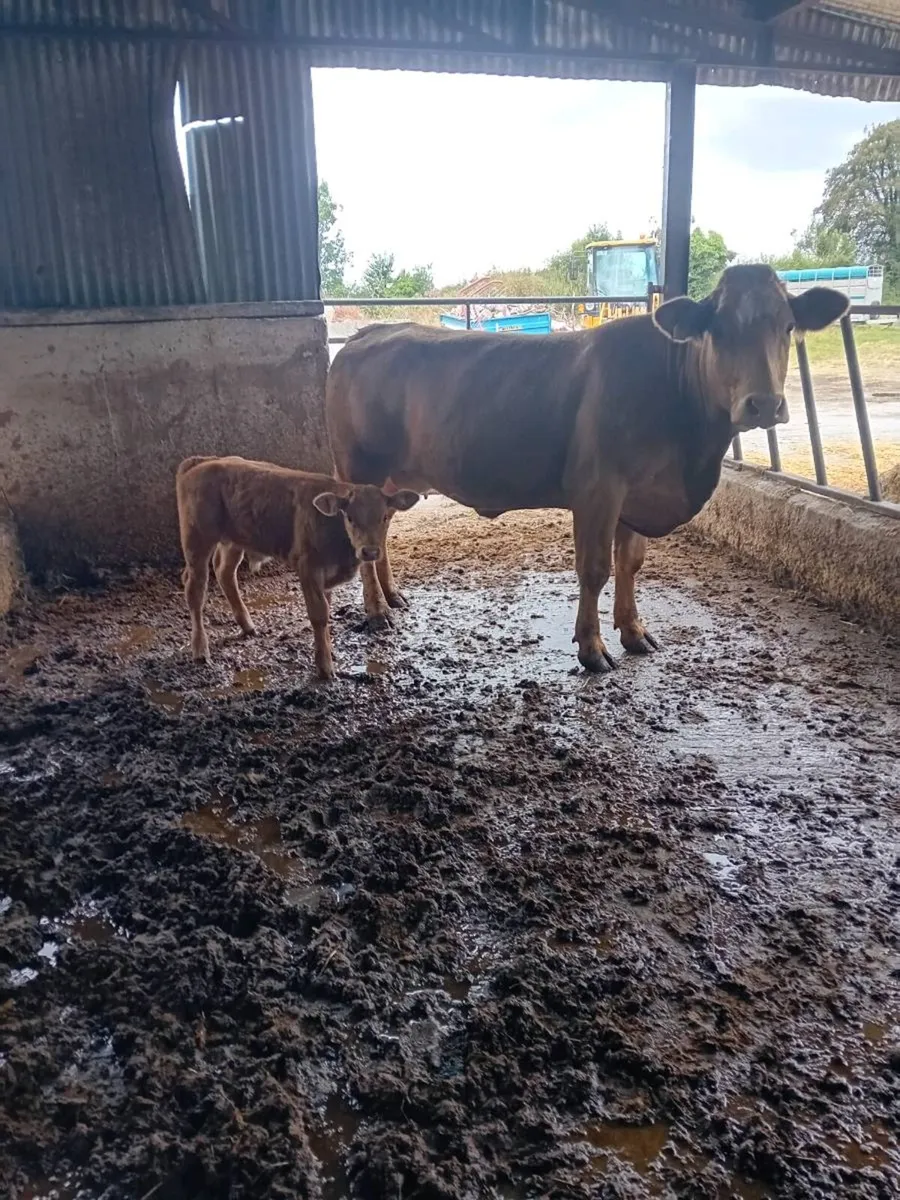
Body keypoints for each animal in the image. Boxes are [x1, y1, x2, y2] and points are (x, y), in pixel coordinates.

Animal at [175, 455, 419, 679]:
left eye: (384, 517)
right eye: (349, 517)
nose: (370, 552)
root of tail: (203, 461)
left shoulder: (327, 577)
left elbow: (327, 613)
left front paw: (328, 652)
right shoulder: (308, 569)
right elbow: (319, 615)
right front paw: (325, 668)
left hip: (234, 541)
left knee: (224, 572)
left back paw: (247, 626)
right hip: (197, 540)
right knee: (195, 589)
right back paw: (200, 649)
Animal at [325, 264, 848, 672]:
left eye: (787, 326)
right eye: (716, 329)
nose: (764, 404)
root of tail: (366, 334)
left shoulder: (637, 493)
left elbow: (631, 563)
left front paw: (634, 632)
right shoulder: (599, 489)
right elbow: (595, 568)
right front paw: (592, 648)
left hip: (390, 476)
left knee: (381, 531)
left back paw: (393, 596)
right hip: (360, 469)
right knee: (364, 533)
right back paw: (377, 612)